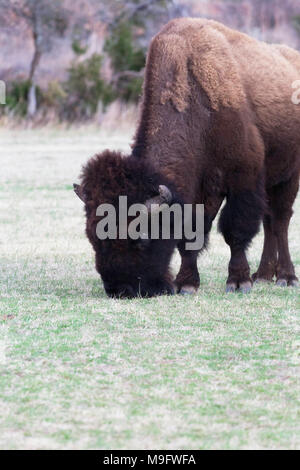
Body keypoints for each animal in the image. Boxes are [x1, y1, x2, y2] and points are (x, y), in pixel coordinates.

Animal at [73, 18, 300, 300]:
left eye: (142, 237)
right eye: (93, 237)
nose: (121, 290)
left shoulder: (242, 179)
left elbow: (235, 231)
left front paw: (238, 282)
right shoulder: (201, 190)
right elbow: (191, 233)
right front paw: (186, 284)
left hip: (290, 176)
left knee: (280, 220)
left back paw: (286, 277)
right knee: (270, 221)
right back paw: (264, 275)